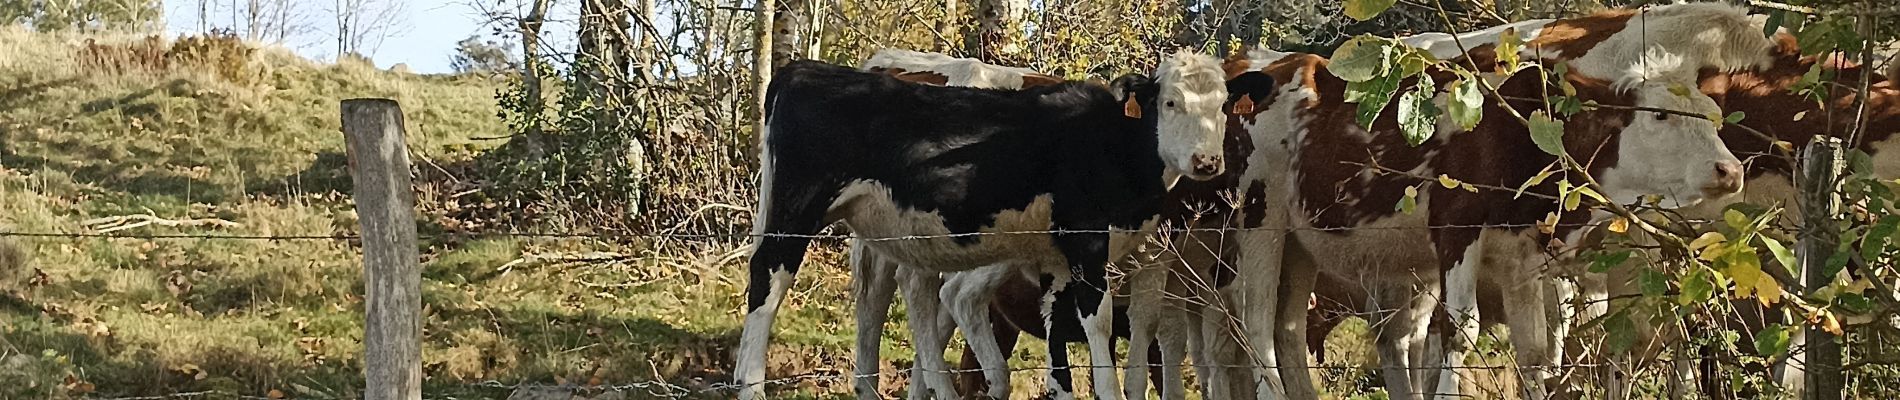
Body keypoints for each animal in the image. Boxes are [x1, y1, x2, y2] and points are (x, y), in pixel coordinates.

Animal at [733, 50, 1238, 400]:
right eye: (1170, 102)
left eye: (1222, 106)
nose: (1208, 161)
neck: (1110, 141)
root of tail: (806, 70)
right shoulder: (1089, 242)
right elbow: (1099, 322)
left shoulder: (1056, 255)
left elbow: (1057, 326)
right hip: (795, 213)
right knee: (767, 282)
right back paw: (751, 386)